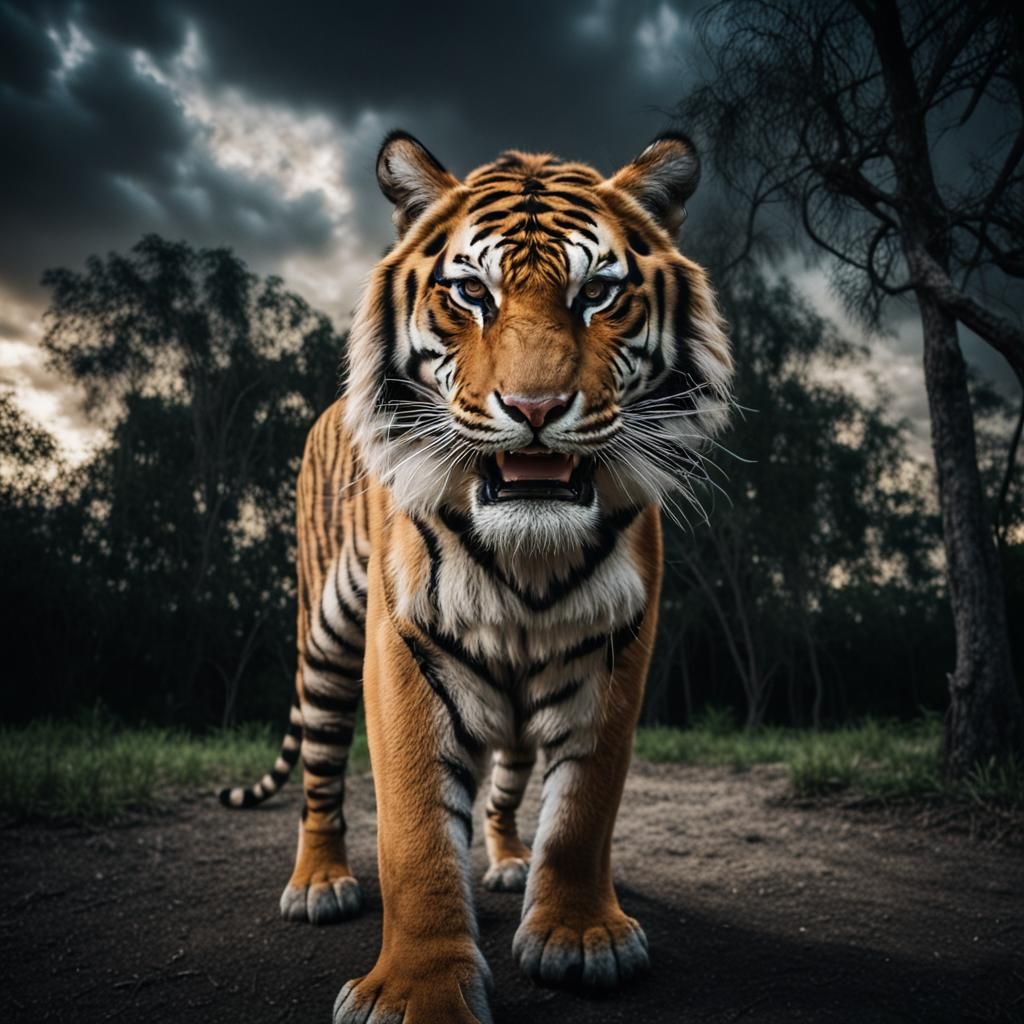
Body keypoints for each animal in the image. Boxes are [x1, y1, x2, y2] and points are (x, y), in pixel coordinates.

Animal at [220, 129, 732, 1023]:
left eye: (597, 294)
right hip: (325, 641)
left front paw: (580, 936)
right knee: (319, 769)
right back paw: (319, 882)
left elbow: (583, 809)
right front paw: (417, 991)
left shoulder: (620, 645)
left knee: (507, 787)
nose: (534, 408)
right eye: (471, 293)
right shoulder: (402, 652)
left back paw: (507, 859)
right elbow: (417, 830)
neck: (528, 555)